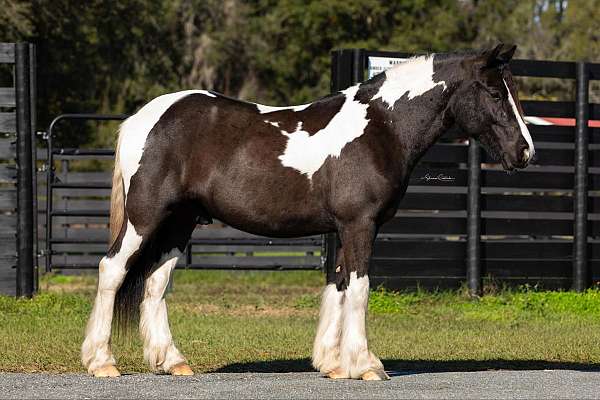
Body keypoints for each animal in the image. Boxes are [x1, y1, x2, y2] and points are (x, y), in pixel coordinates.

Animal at [79, 43, 536, 382]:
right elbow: (360, 289)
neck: (380, 127)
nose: (525, 152)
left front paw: (332, 364)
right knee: (112, 270)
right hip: (146, 217)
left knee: (156, 283)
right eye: (496, 93)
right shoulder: (360, 225)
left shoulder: (345, 228)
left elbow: (339, 285)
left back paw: (173, 361)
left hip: (179, 222)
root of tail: (142, 118)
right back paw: (102, 362)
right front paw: (366, 365)